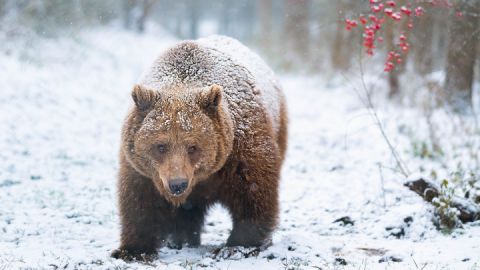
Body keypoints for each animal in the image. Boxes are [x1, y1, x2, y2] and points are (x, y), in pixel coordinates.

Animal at [110, 34, 286, 260]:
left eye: (192, 147)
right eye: (160, 146)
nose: (177, 184)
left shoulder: (240, 149)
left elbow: (253, 191)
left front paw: (237, 246)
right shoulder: (142, 167)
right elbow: (139, 200)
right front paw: (133, 250)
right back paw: (180, 238)